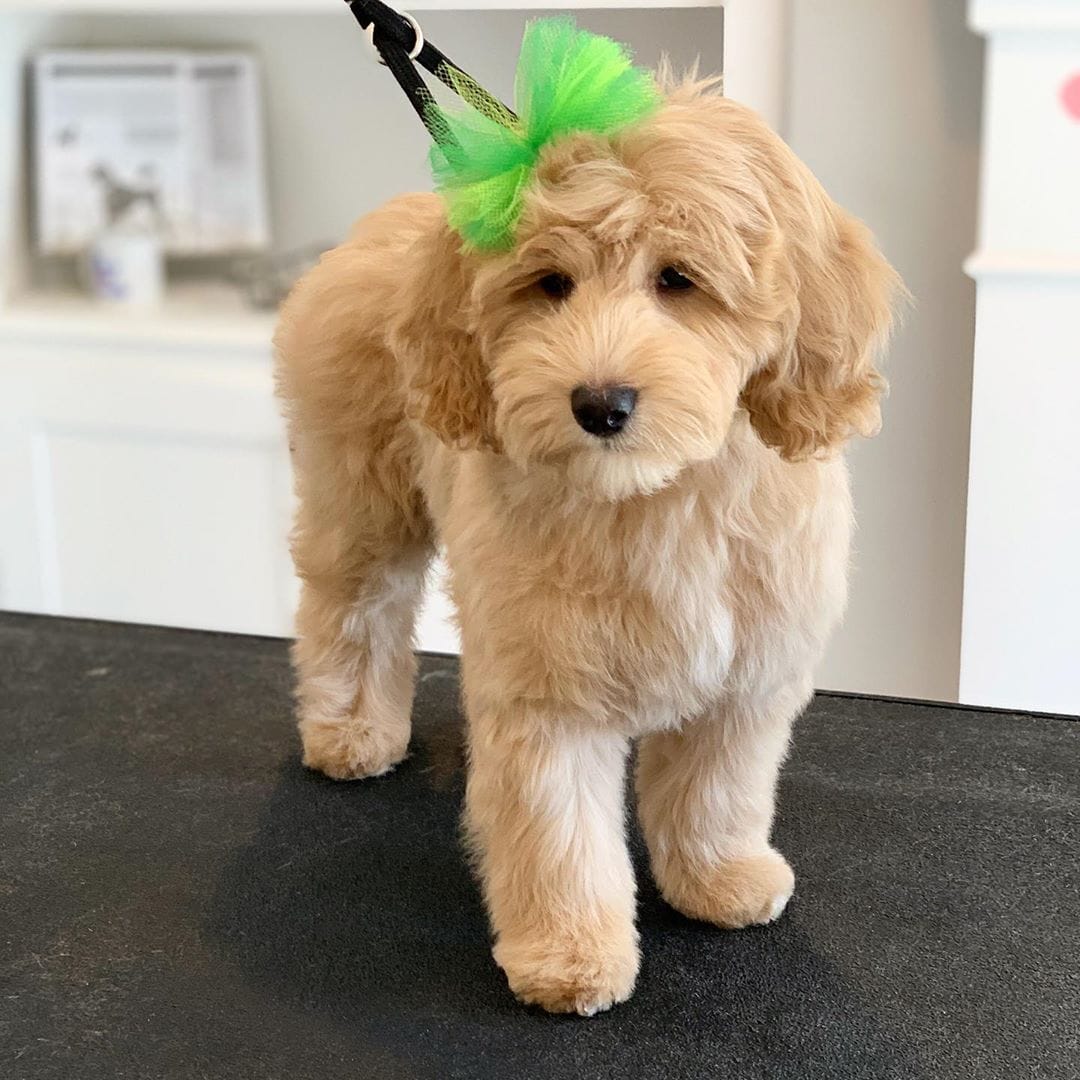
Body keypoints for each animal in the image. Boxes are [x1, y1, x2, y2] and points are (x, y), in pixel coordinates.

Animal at [274, 79, 898, 1015]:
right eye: (550, 284)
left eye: (679, 280)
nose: (600, 403)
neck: (653, 494)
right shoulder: (547, 692)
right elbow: (558, 829)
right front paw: (569, 955)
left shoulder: (747, 672)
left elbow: (717, 787)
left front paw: (721, 876)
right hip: (363, 497)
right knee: (353, 608)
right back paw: (351, 728)